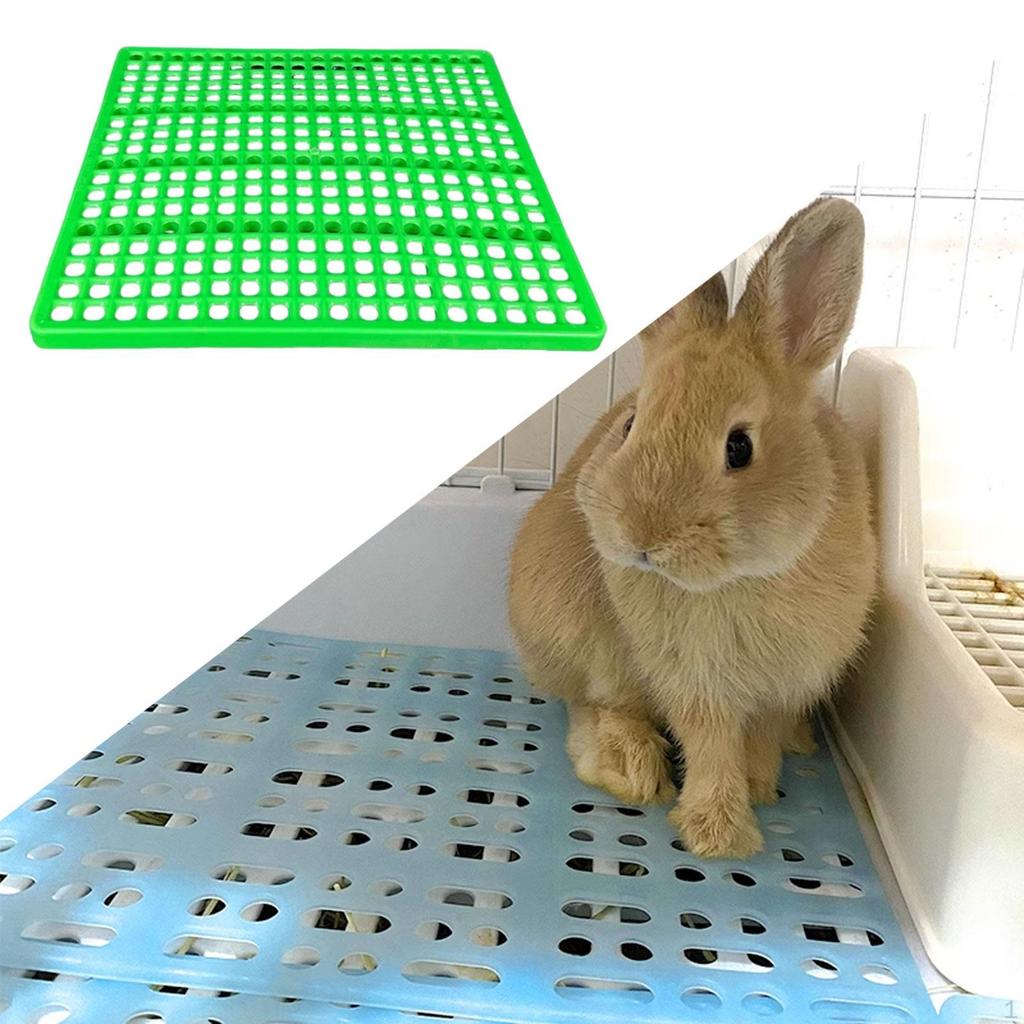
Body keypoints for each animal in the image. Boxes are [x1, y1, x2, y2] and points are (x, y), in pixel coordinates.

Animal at [508, 197, 876, 859]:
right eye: (631, 424)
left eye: (740, 446)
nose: (643, 538)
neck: (738, 580)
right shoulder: (694, 684)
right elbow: (709, 745)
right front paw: (721, 836)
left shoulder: (787, 683)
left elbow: (759, 736)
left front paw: (760, 787)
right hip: (575, 635)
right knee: (593, 704)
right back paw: (629, 769)